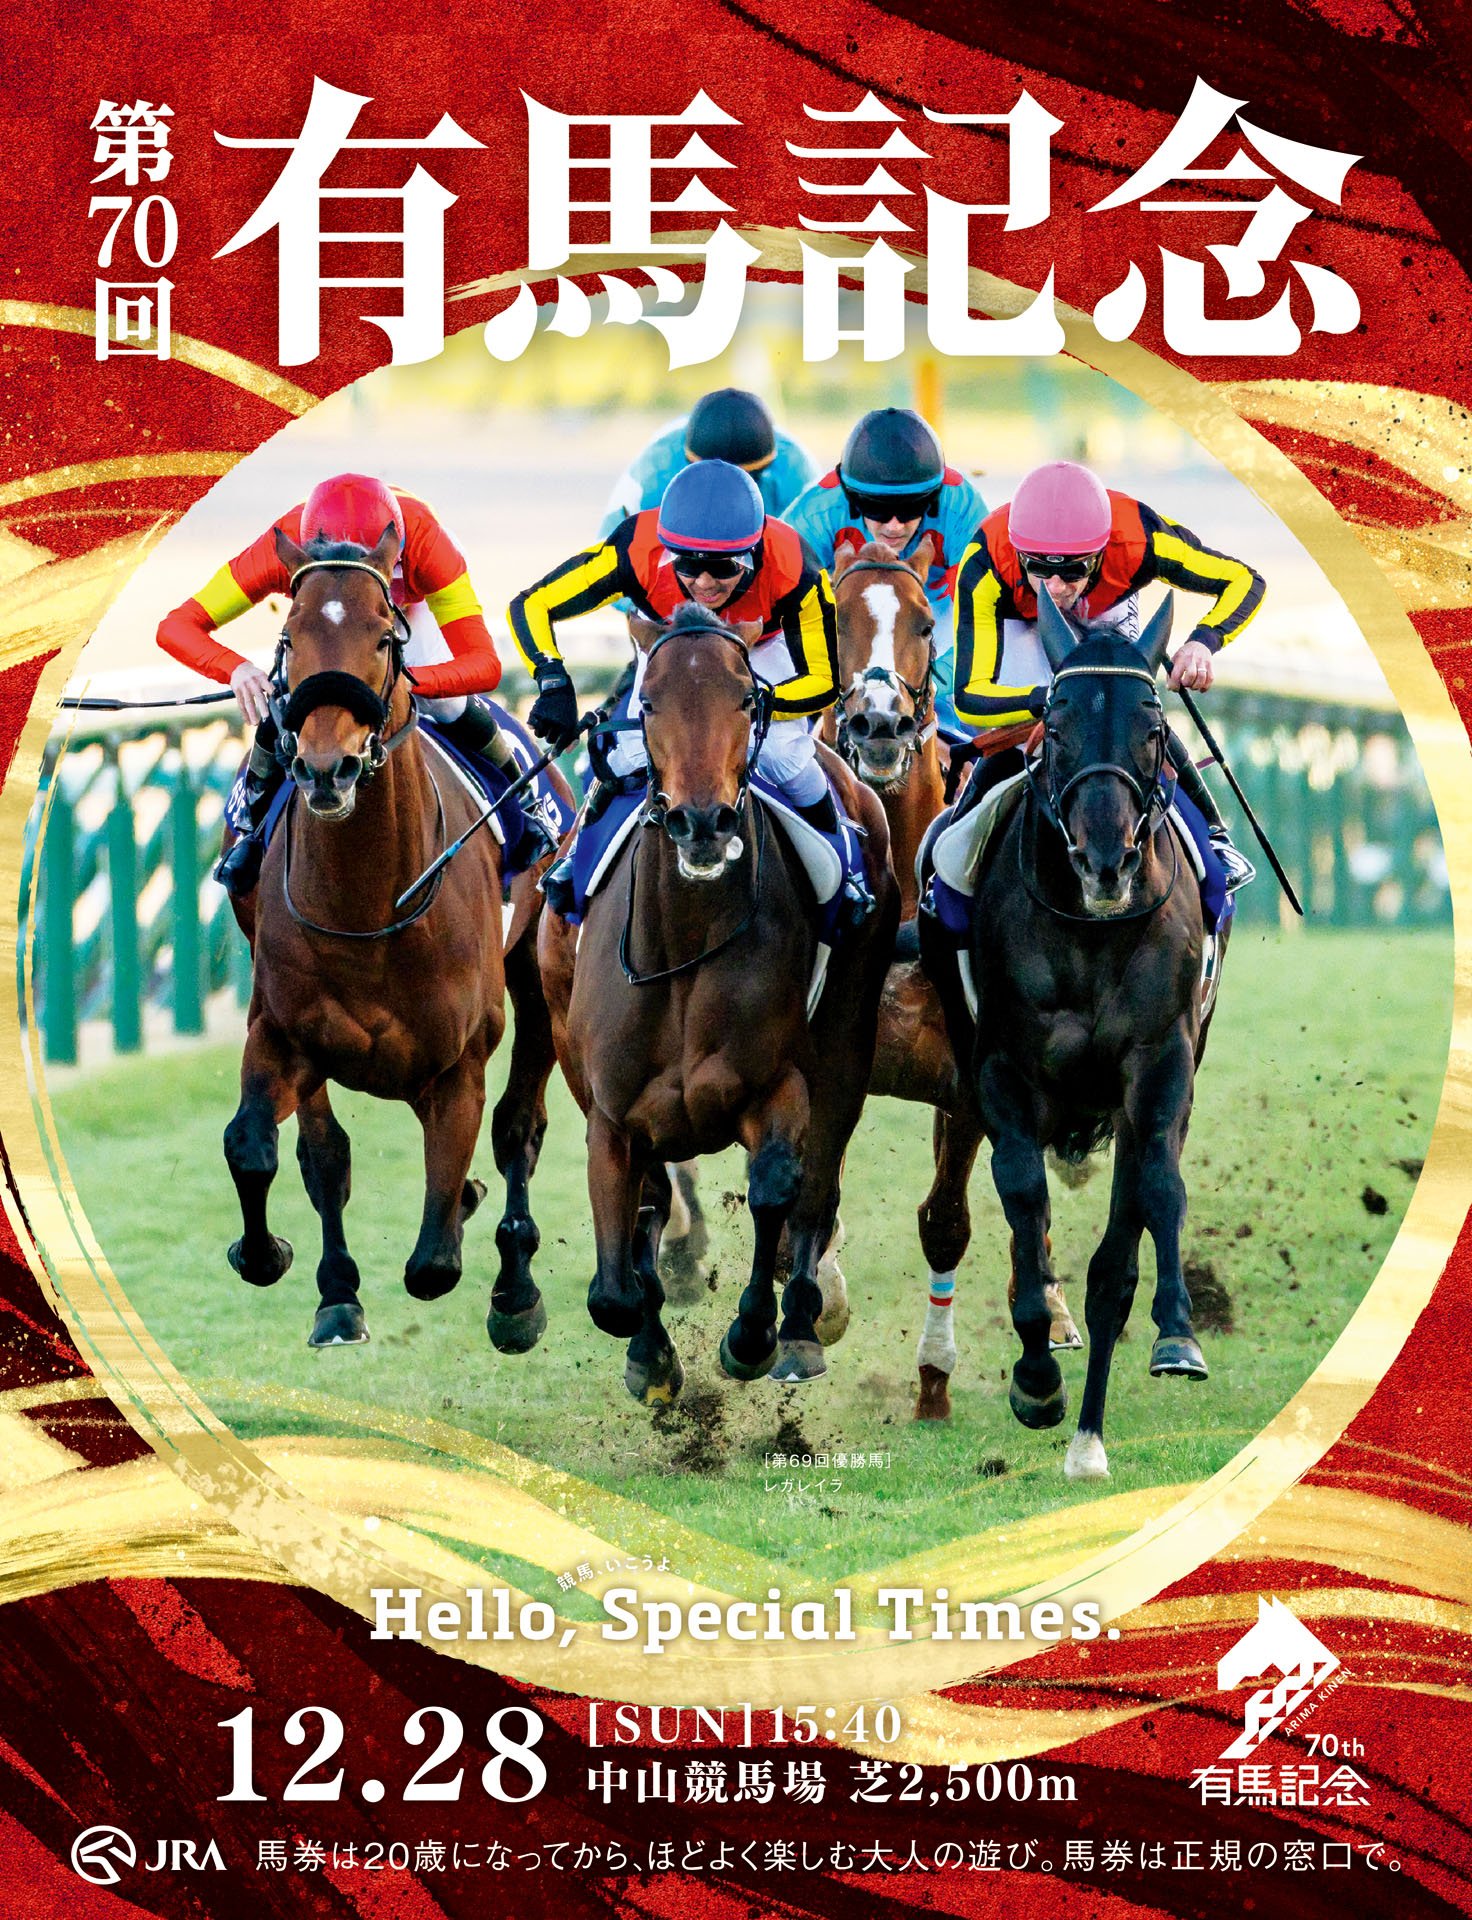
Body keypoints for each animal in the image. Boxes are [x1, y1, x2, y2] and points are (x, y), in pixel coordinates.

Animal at [223, 521, 568, 1352]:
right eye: (289, 634)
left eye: (383, 637)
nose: (327, 767)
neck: (369, 906)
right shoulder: (281, 1030)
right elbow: (259, 1147)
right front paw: (275, 1258)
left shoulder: (459, 1062)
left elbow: (434, 1260)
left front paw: (484, 1241)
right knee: (325, 1153)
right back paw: (340, 1292)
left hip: (537, 976)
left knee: (519, 1127)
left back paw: (515, 1290)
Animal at [538, 602, 899, 1403]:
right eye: (647, 702)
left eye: (745, 698)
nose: (702, 824)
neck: (685, 940)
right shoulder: (611, 1112)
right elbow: (615, 1287)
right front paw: (651, 1357)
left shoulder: (776, 1084)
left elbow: (775, 1190)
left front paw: (752, 1336)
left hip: (848, 1043)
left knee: (815, 1188)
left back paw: (802, 1327)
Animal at [826, 539, 1079, 1422]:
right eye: (835, 614)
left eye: (926, 622)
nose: (878, 724)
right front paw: (815, 1309)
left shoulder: (970, 1075)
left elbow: (946, 1221)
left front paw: (935, 1376)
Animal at [922, 590, 1222, 1480]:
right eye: (1053, 726)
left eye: (1153, 729)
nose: (1105, 862)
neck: (1091, 931)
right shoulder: (1001, 1071)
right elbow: (1024, 1198)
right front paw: (1035, 1378)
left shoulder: (1158, 1064)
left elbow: (1147, 1206)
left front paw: (1172, 1338)